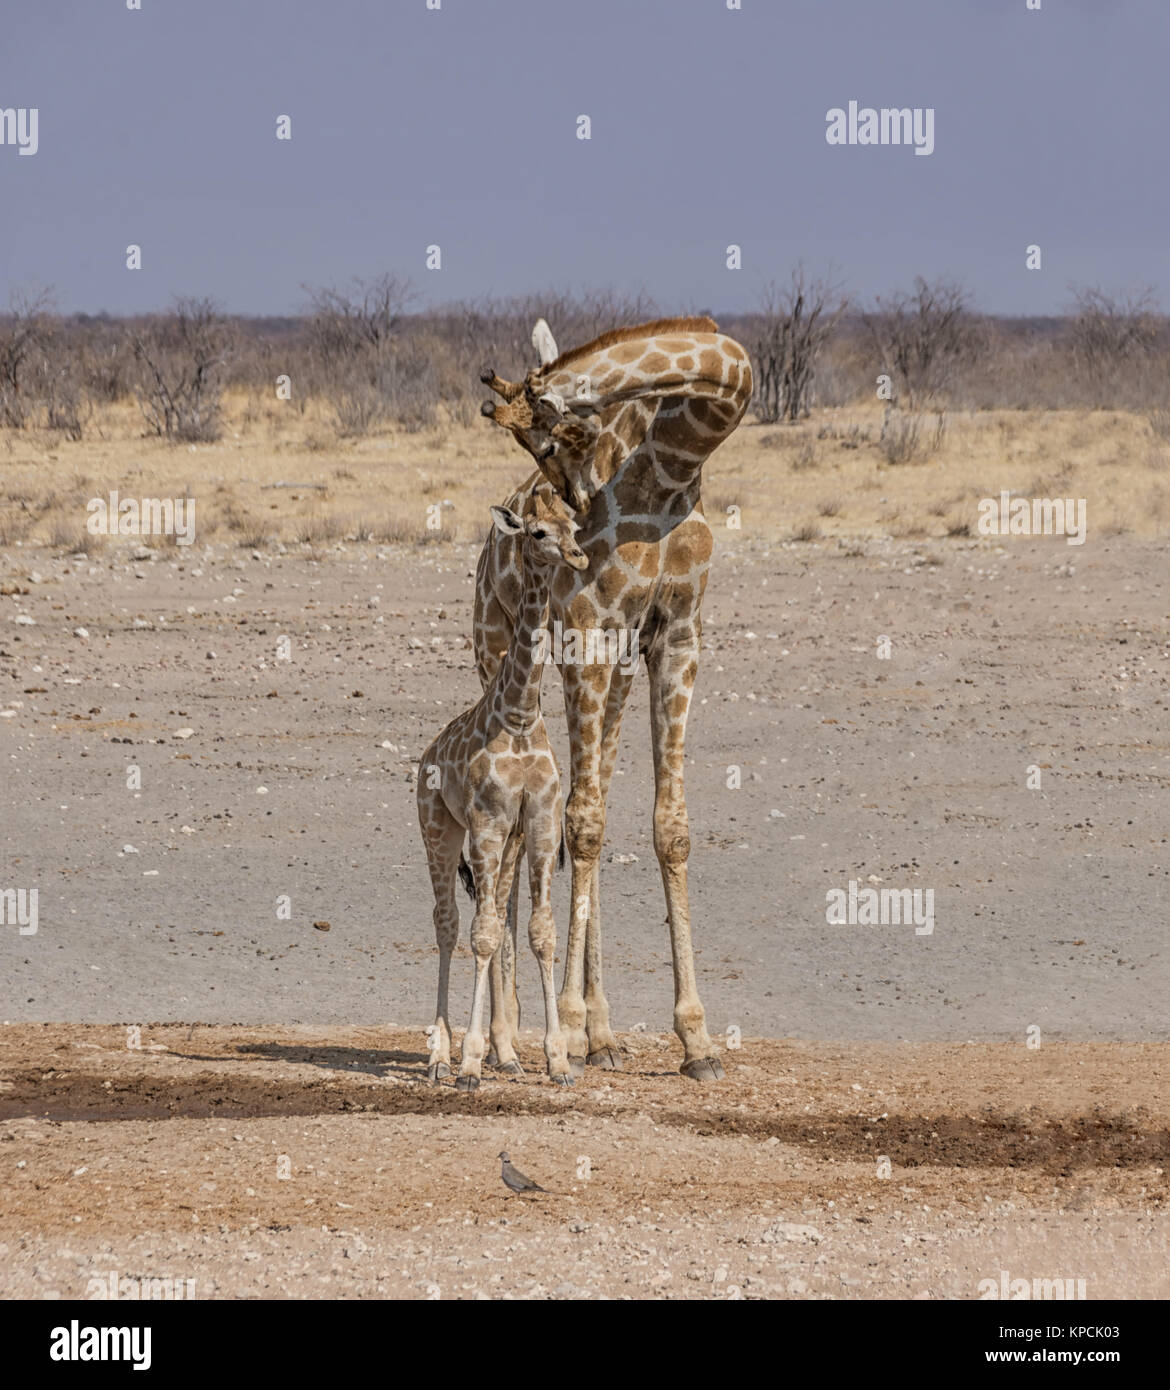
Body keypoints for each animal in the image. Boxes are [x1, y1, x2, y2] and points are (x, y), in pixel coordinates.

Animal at [416, 494, 589, 1089]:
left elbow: (538, 931)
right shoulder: (487, 821)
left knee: (496, 918)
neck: (517, 715)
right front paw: (468, 1062)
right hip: (438, 830)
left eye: (574, 525)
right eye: (538, 532)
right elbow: (483, 935)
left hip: (507, 847)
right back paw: (440, 1056)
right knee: (449, 926)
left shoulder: (537, 821)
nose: (579, 557)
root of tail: (426, 754)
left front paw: (556, 1059)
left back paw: (507, 1053)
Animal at [472, 318, 750, 1084]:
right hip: (497, 652)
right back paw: (509, 1040)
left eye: (547, 440)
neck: (673, 465)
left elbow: (664, 826)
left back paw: (601, 1036)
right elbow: (585, 824)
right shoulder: (590, 632)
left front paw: (696, 1040)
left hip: (615, 675)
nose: (575, 513)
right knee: (521, 835)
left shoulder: (675, 637)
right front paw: (561, 1025)